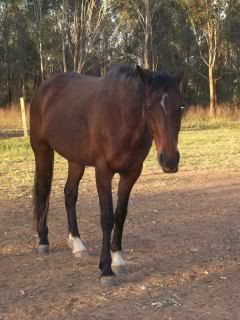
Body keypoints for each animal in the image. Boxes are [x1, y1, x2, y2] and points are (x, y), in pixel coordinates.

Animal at [29, 63, 184, 286]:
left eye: (179, 107)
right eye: (148, 107)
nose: (169, 161)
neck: (121, 116)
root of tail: (43, 89)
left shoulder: (131, 173)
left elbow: (120, 214)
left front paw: (118, 259)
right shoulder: (103, 172)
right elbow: (107, 217)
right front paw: (106, 270)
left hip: (76, 159)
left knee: (70, 194)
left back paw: (77, 243)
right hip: (42, 150)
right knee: (42, 190)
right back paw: (43, 241)